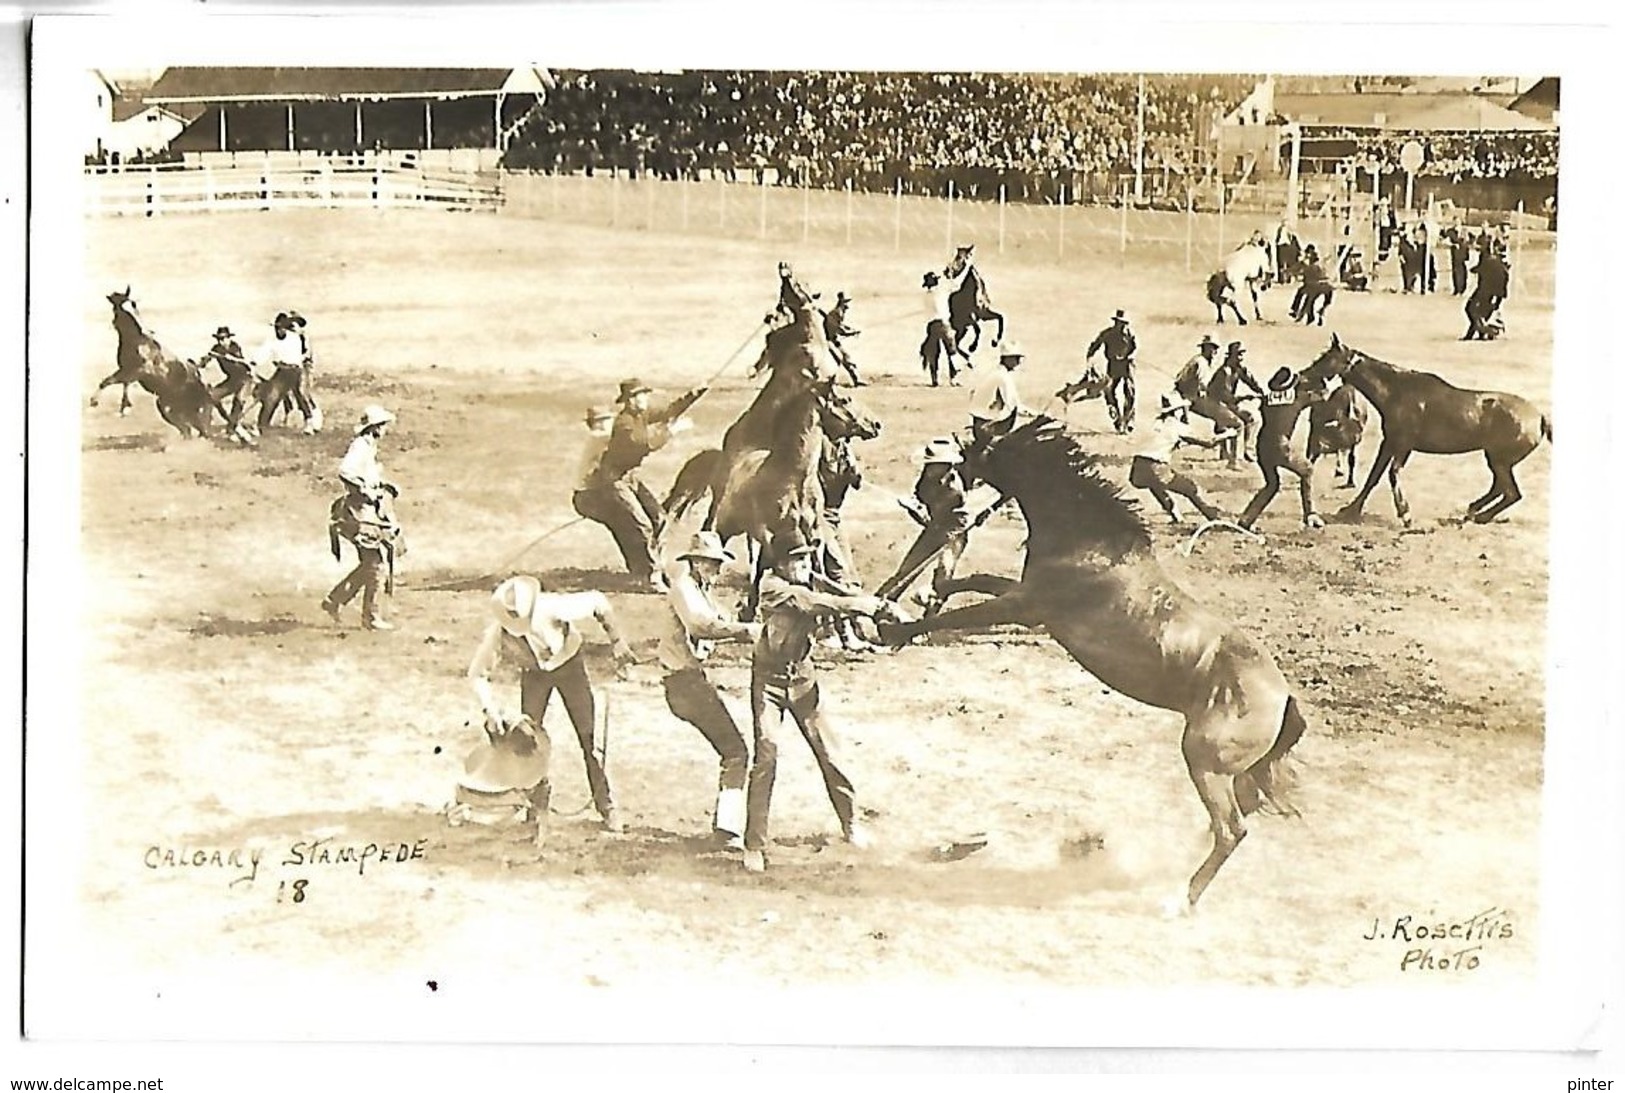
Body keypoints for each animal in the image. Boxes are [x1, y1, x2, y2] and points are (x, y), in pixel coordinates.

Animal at [877, 419, 1306, 909]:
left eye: (970, 451)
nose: (924, 491)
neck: (1089, 541)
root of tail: (1282, 697)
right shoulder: (1029, 601)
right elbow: (977, 581)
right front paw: (926, 593)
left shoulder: (1026, 606)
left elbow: (963, 610)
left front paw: (894, 628)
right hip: (1233, 770)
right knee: (1239, 814)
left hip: (1205, 762)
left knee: (1232, 829)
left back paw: (1181, 900)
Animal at [1306, 334, 1547, 522]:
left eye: (1326, 358)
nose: (1303, 375)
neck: (1397, 392)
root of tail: (1540, 418)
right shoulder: (1390, 443)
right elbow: (1374, 476)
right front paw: (1350, 510)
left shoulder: (1403, 445)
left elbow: (1392, 474)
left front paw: (1405, 514)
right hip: (1497, 459)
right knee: (1501, 489)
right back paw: (1473, 509)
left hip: (1499, 460)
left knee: (1511, 493)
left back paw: (1480, 516)